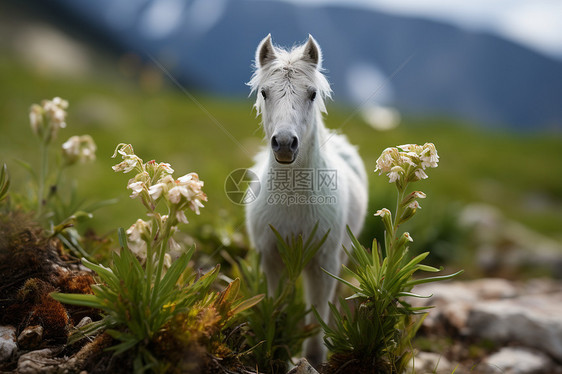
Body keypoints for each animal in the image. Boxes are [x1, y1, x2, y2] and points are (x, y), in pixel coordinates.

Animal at [245, 34, 368, 366]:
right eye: (264, 92)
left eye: (312, 94)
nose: (285, 143)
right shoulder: (270, 258)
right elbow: (275, 303)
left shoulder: (323, 262)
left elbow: (318, 312)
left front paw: (313, 358)